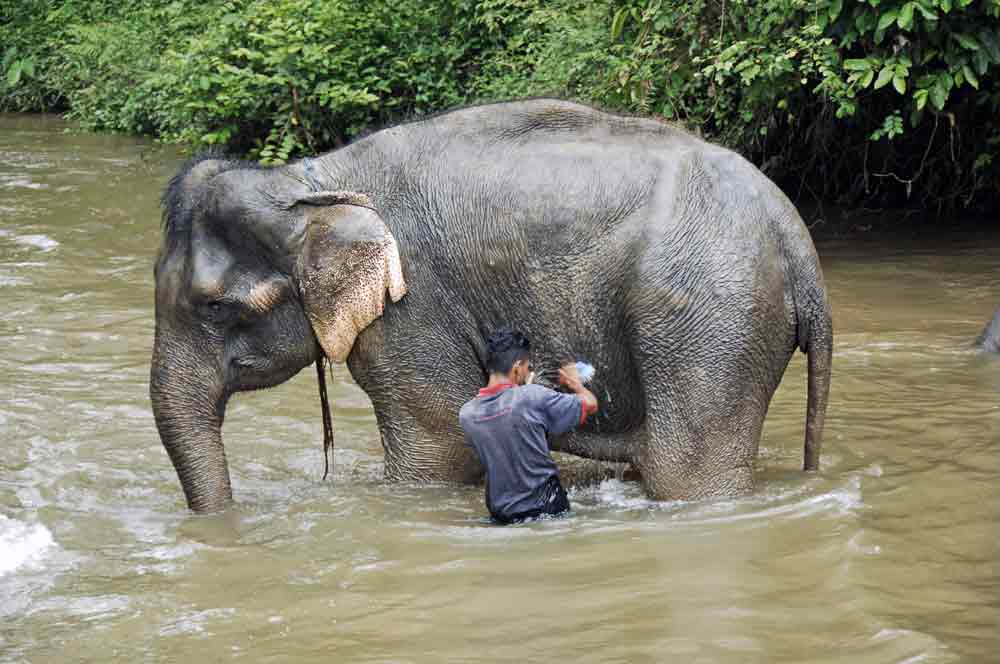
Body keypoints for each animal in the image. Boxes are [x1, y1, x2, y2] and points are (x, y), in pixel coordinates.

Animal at [150, 98, 833, 513]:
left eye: (214, 307)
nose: (233, 517)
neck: (308, 185)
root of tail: (795, 236)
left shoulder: (413, 309)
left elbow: (436, 447)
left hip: (710, 317)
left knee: (685, 472)